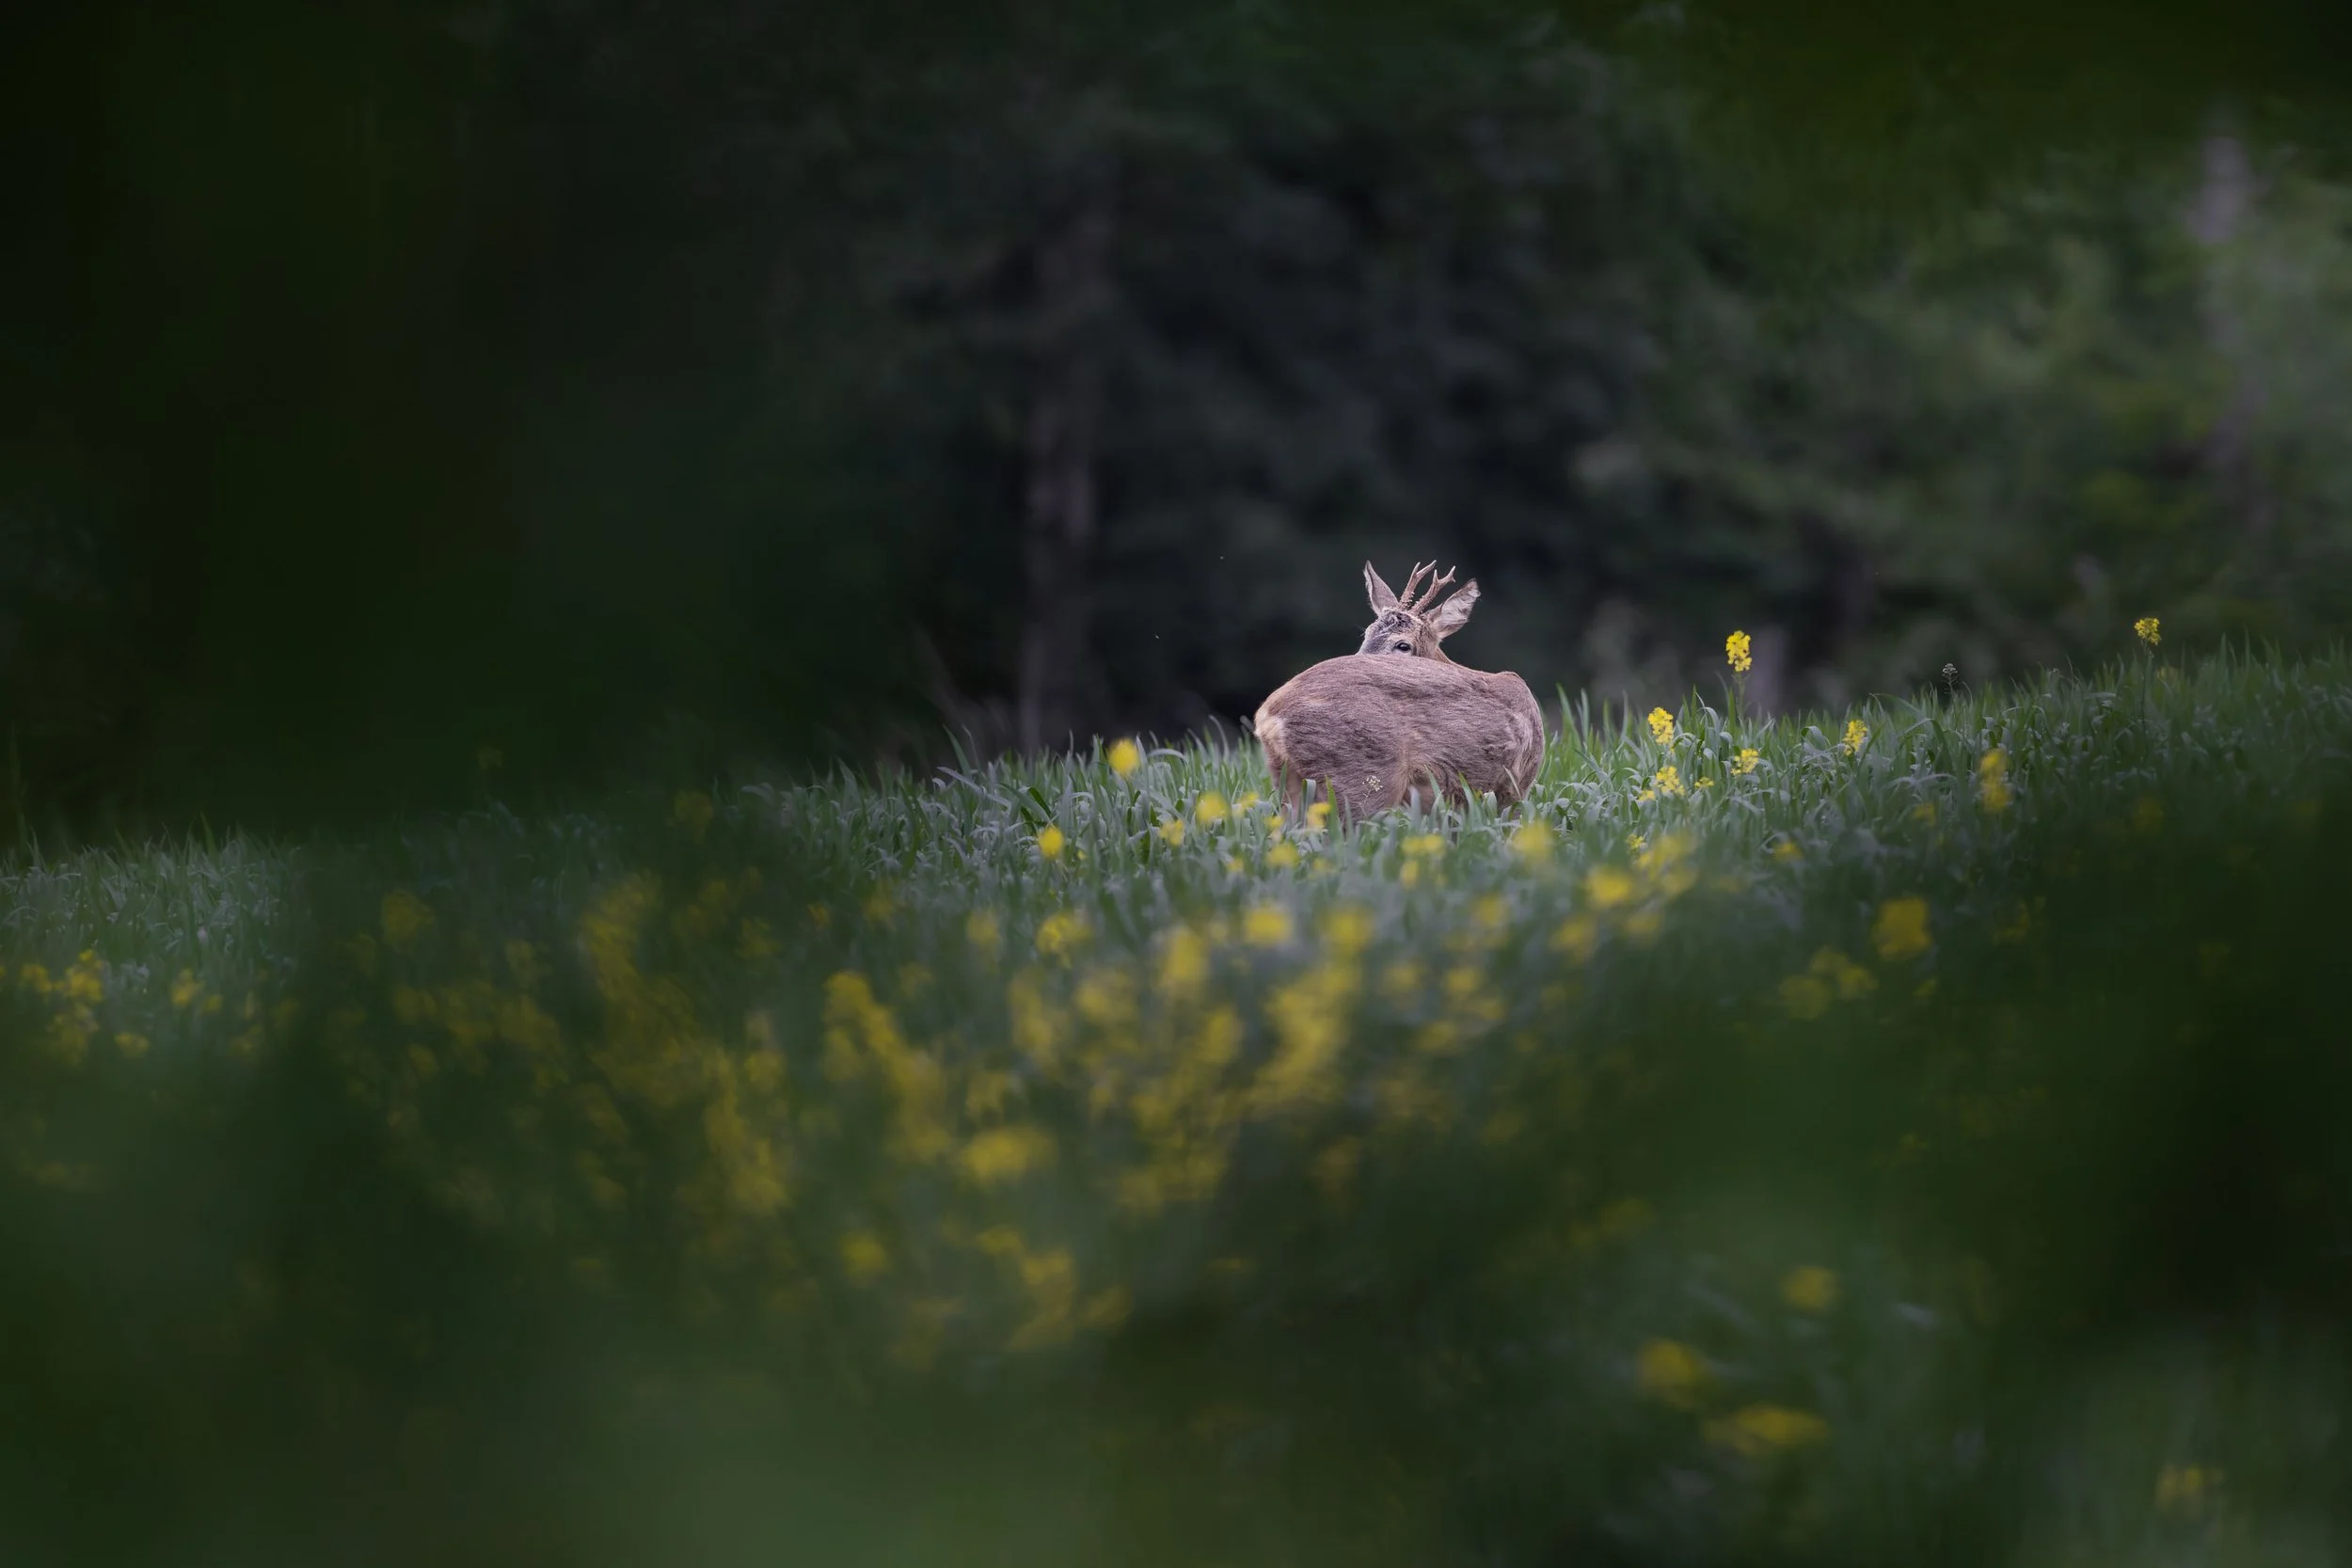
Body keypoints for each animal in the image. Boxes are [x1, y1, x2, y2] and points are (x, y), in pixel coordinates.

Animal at [1252, 560, 1546, 821]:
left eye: (1403, 645)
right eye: (1366, 635)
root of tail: (1267, 715)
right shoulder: (1513, 787)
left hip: (1288, 778)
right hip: (1362, 775)